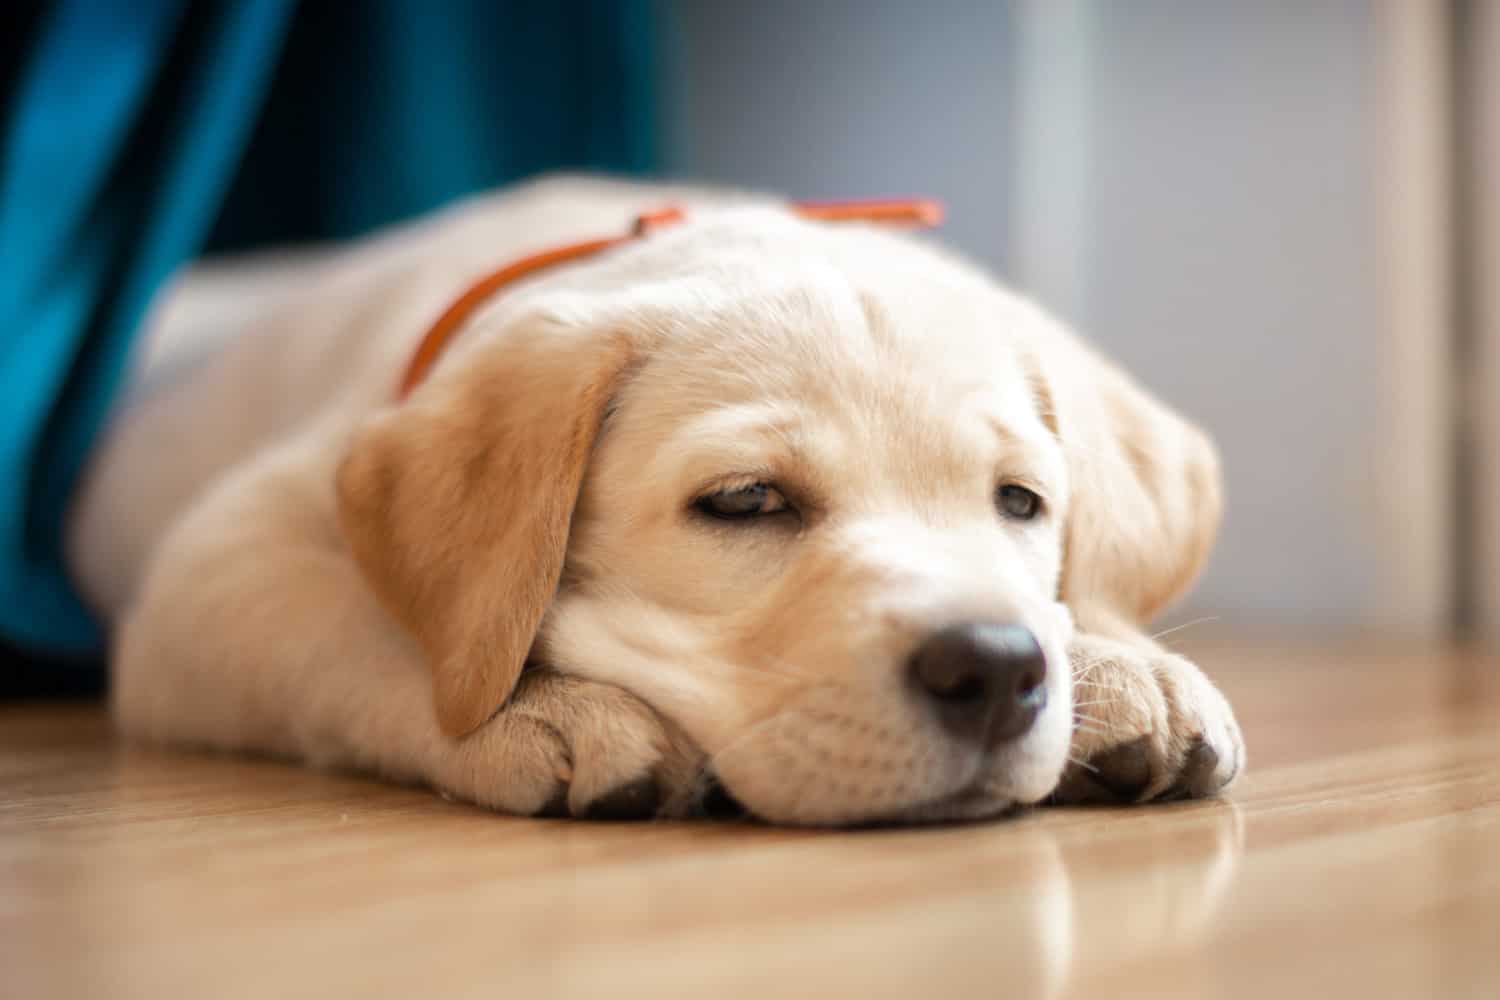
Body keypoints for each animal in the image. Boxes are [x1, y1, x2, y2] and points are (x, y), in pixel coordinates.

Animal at [67, 176, 1242, 827]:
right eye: (746, 501)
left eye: (1020, 502)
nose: (994, 669)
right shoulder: (213, 568)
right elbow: (373, 636)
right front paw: (540, 710)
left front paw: (1123, 668)